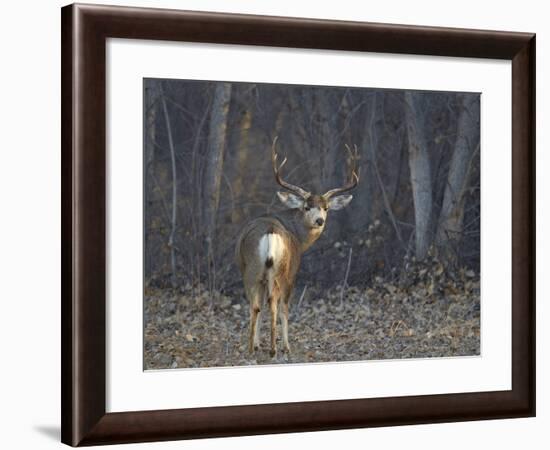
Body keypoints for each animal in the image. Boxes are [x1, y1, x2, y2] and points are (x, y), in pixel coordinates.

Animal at [235, 137, 360, 358]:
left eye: (326, 208)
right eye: (306, 207)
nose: (319, 220)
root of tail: (270, 232)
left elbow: (260, 305)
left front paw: (259, 344)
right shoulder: (293, 270)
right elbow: (283, 307)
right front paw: (284, 345)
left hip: (255, 269)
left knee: (257, 305)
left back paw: (254, 347)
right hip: (280, 270)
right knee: (277, 304)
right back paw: (276, 348)